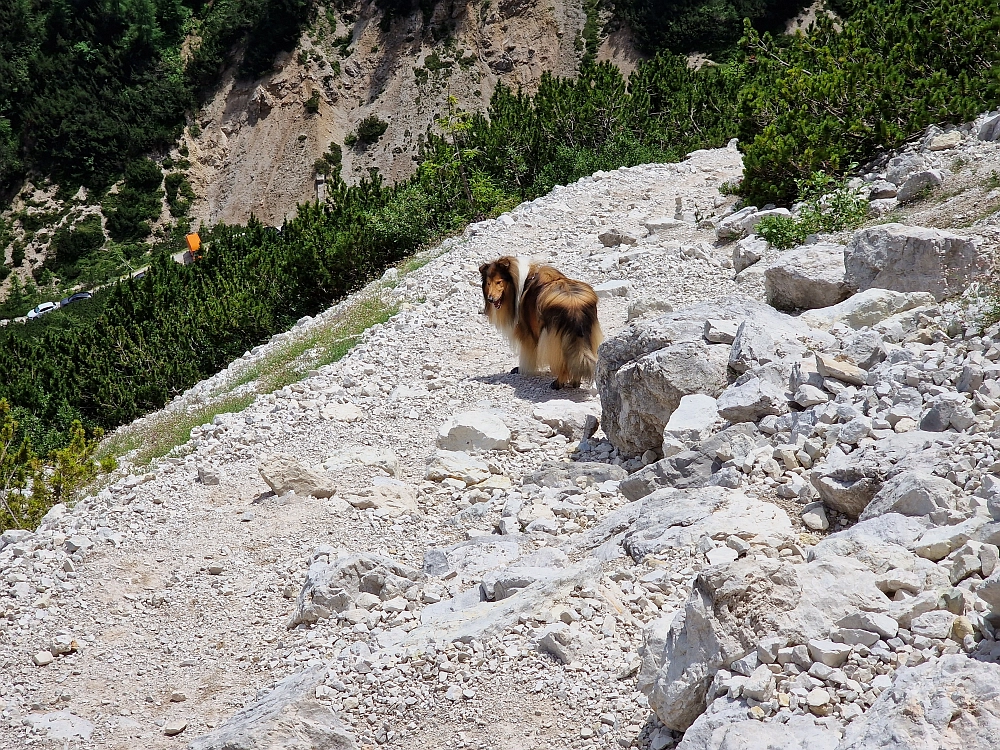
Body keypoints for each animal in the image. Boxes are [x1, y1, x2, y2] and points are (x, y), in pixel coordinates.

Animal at [478, 258, 600, 390]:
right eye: (488, 283)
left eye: (499, 282)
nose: (490, 299)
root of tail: (573, 304)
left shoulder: (528, 332)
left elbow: (528, 353)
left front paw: (521, 369)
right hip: (584, 337)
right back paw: (575, 382)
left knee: (564, 362)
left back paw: (558, 383)